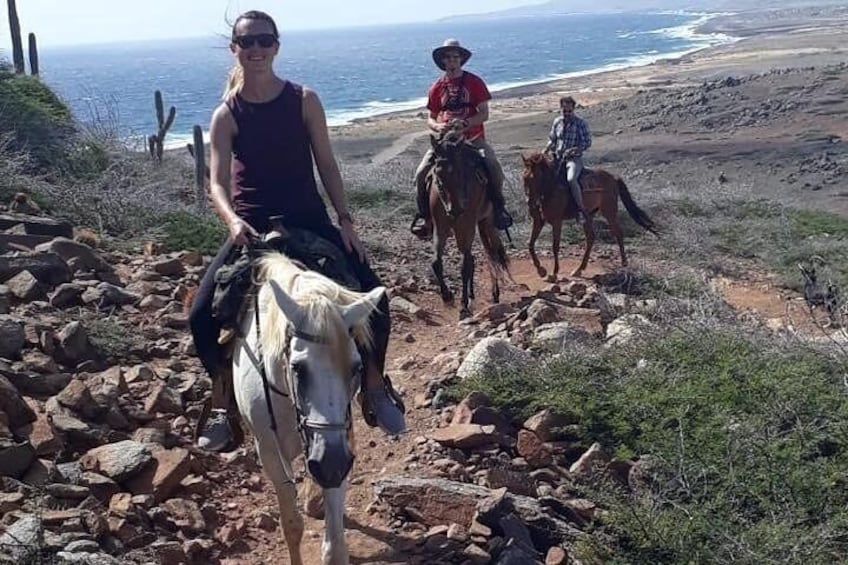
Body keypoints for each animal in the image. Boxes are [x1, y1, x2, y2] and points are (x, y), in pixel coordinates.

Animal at [235, 253, 388, 564]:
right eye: (298, 367)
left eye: (357, 367)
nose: (330, 465)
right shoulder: (269, 450)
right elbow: (292, 524)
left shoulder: (339, 448)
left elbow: (335, 545)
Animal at [428, 130, 506, 320]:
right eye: (437, 173)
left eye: (459, 172)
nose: (455, 210)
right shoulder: (440, 228)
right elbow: (436, 262)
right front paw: (447, 296)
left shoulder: (466, 226)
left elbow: (464, 267)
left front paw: (463, 306)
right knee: (475, 257)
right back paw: (472, 295)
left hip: (487, 223)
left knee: (492, 255)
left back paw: (494, 294)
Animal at [520, 152, 660, 280]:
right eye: (524, 177)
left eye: (536, 177)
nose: (529, 202)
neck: (550, 188)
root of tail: (614, 177)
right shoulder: (538, 221)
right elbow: (530, 244)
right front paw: (541, 270)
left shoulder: (556, 222)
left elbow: (555, 246)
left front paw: (554, 274)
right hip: (588, 216)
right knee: (591, 238)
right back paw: (579, 269)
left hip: (609, 212)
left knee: (618, 233)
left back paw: (624, 263)